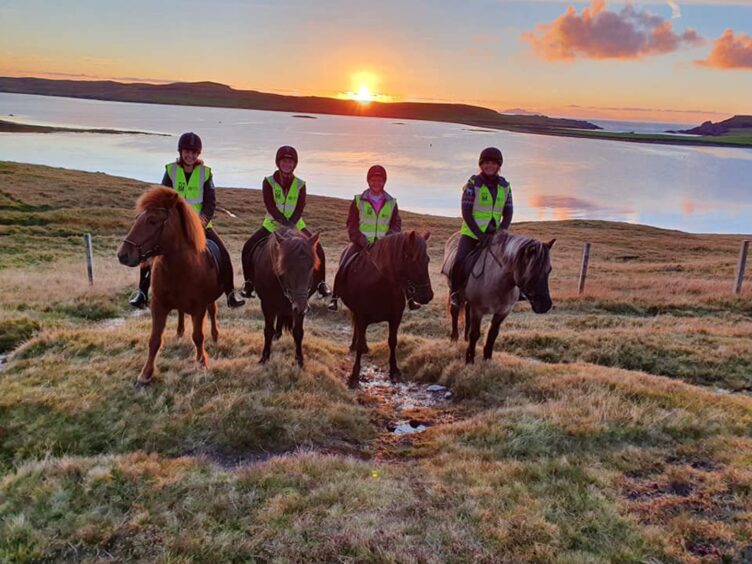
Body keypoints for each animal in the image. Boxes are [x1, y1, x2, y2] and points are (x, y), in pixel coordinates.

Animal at [117, 187, 222, 386]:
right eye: (137, 218)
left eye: (152, 220)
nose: (123, 255)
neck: (181, 267)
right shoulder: (158, 305)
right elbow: (154, 340)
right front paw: (145, 374)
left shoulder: (199, 308)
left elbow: (198, 336)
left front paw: (202, 363)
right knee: (180, 313)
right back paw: (180, 332)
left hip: (209, 302)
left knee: (212, 312)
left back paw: (215, 335)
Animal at [245, 227, 318, 368]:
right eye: (285, 266)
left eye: (311, 266)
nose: (301, 306)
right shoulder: (267, 304)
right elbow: (268, 330)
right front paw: (264, 358)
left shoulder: (298, 307)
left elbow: (298, 332)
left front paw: (300, 360)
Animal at [334, 231, 434, 390]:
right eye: (410, 258)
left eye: (427, 259)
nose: (427, 295)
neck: (380, 285)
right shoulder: (362, 316)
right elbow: (360, 343)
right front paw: (354, 376)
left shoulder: (396, 317)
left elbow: (392, 341)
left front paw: (394, 371)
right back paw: (353, 345)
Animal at [438, 231, 556, 364]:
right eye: (532, 270)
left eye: (549, 270)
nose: (545, 305)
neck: (496, 280)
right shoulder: (477, 310)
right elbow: (475, 334)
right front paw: (469, 360)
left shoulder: (503, 312)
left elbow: (492, 335)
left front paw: (487, 360)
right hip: (453, 291)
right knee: (454, 311)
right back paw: (454, 338)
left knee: (467, 312)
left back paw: (465, 339)